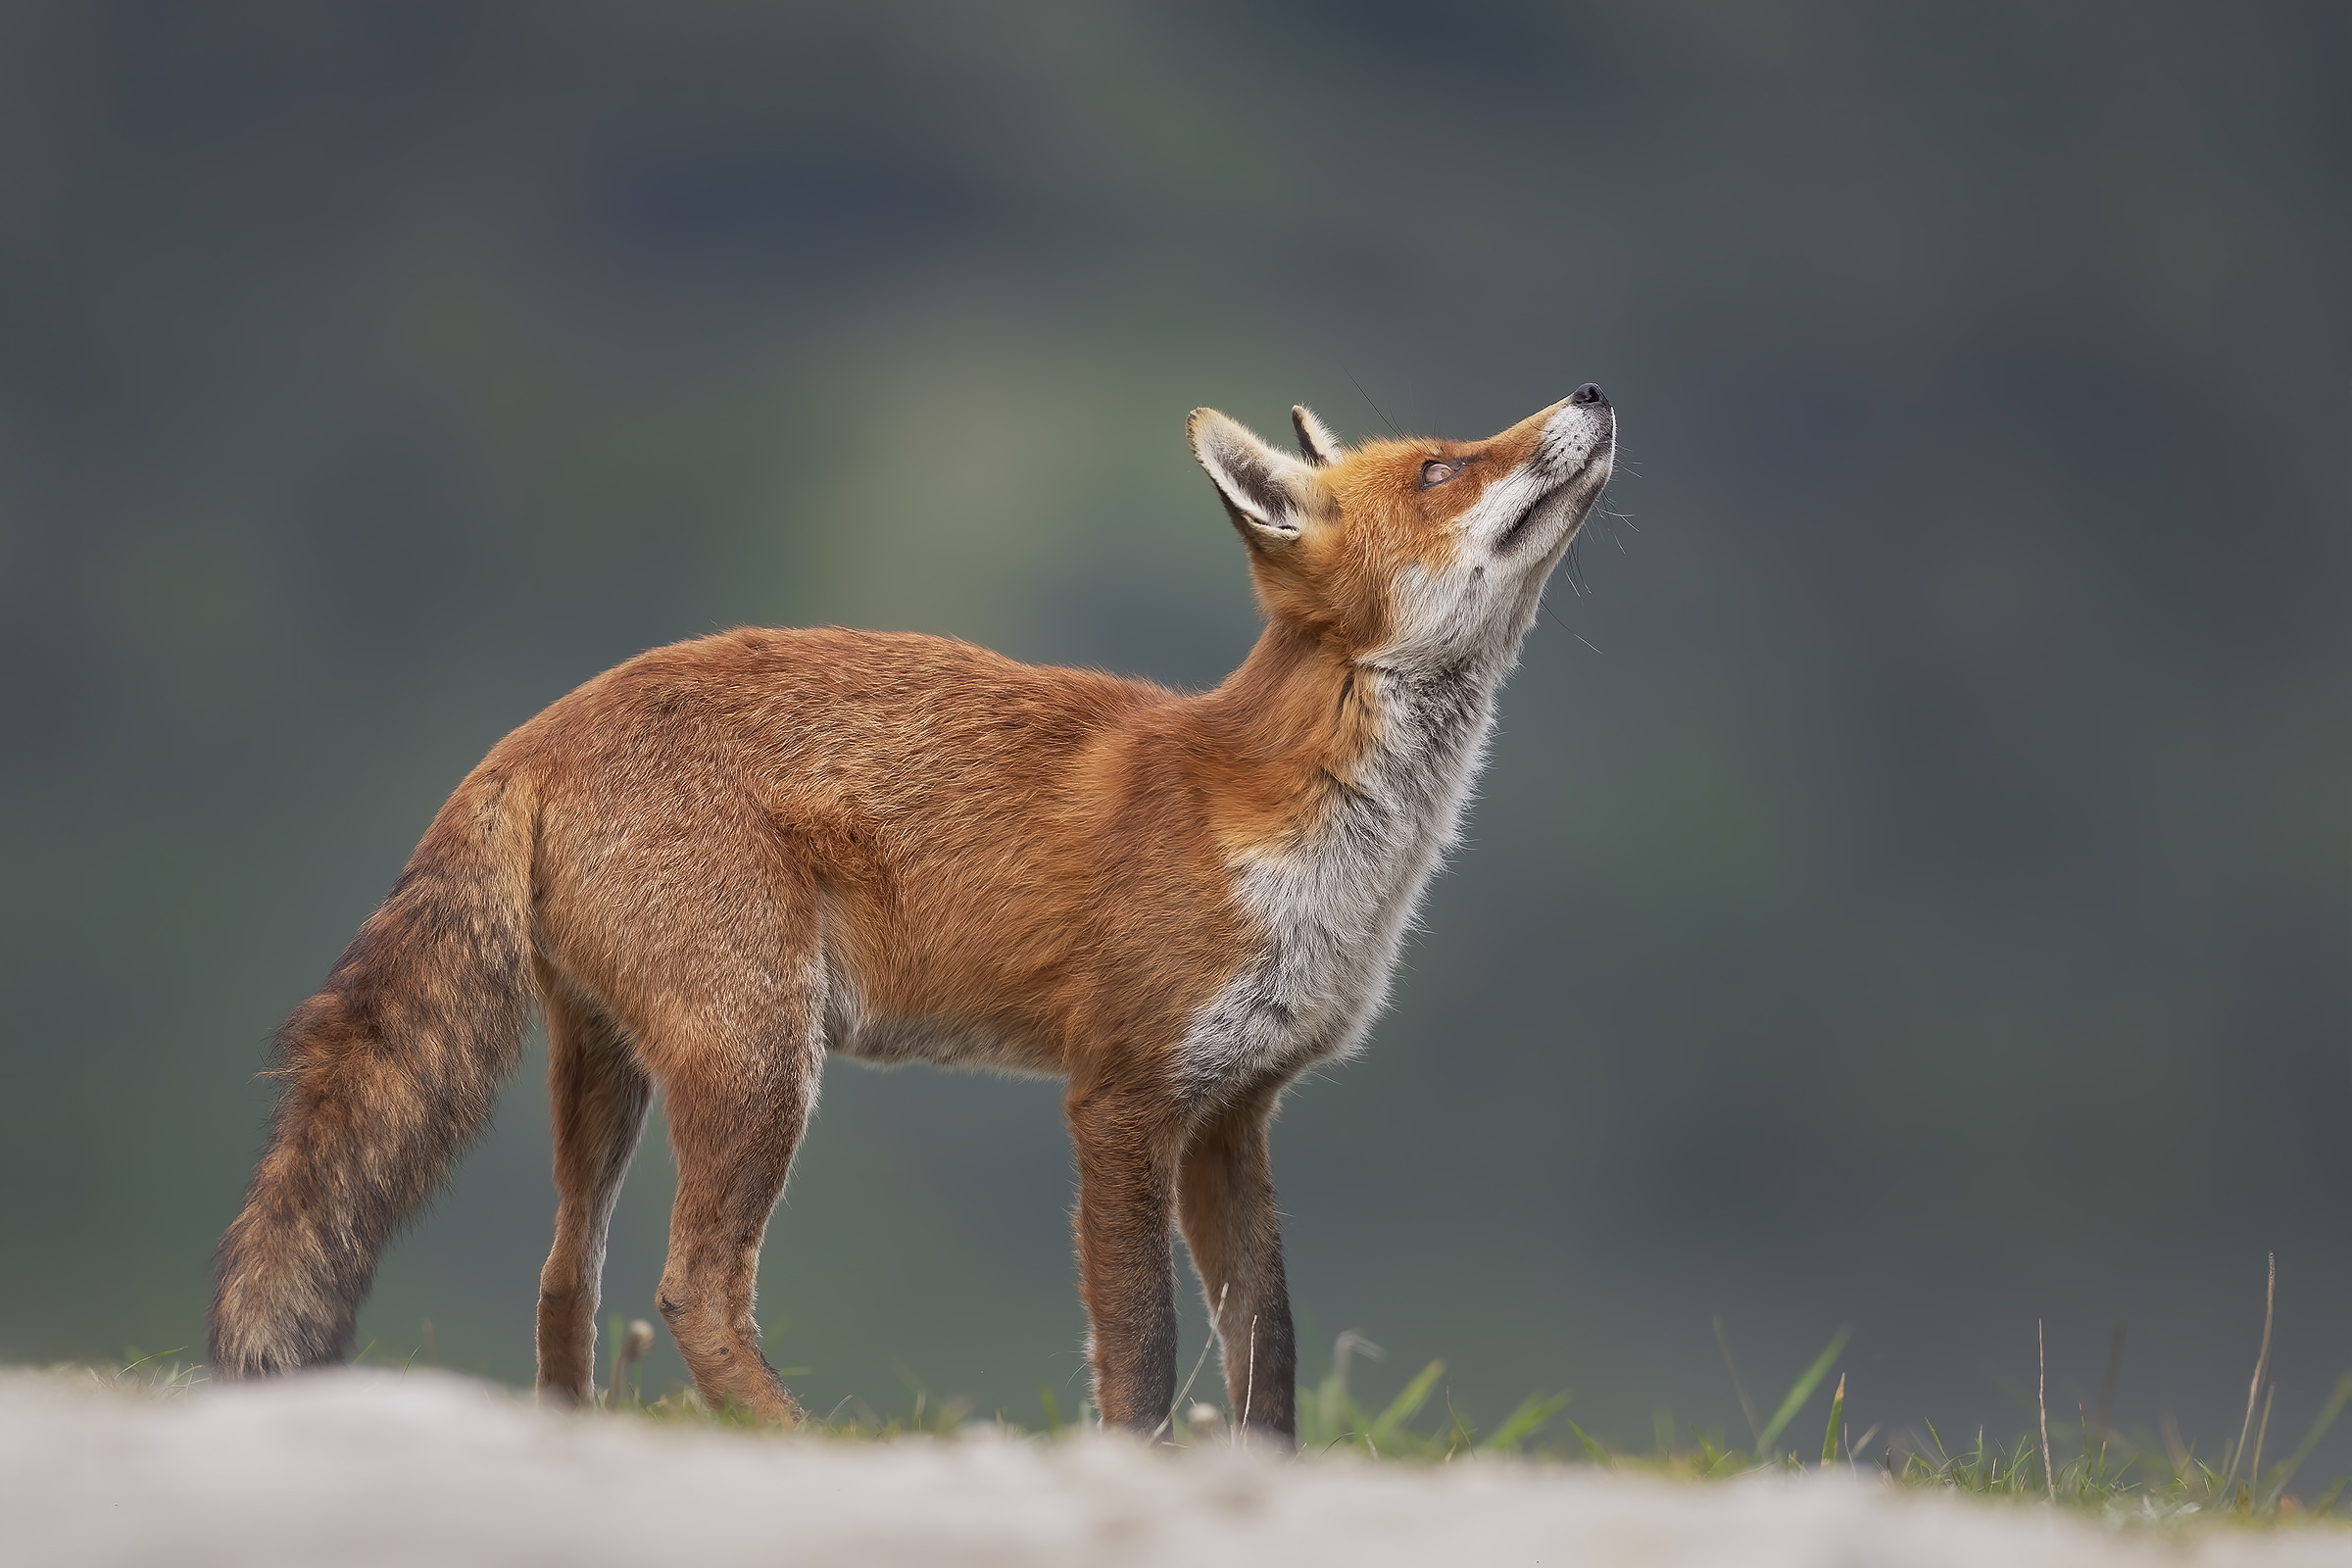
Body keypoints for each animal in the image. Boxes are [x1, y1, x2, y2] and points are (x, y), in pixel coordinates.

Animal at [208, 382, 1617, 1442]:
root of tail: (536, 730)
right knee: (692, 1288)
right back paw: (796, 1442)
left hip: (608, 1069)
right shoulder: (1121, 1098)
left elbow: (1267, 1353)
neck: (1287, 825)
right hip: (759, 1062)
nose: (1593, 394)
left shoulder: (1234, 1113)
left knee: (567, 1278)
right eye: (1443, 467)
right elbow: (1146, 1351)